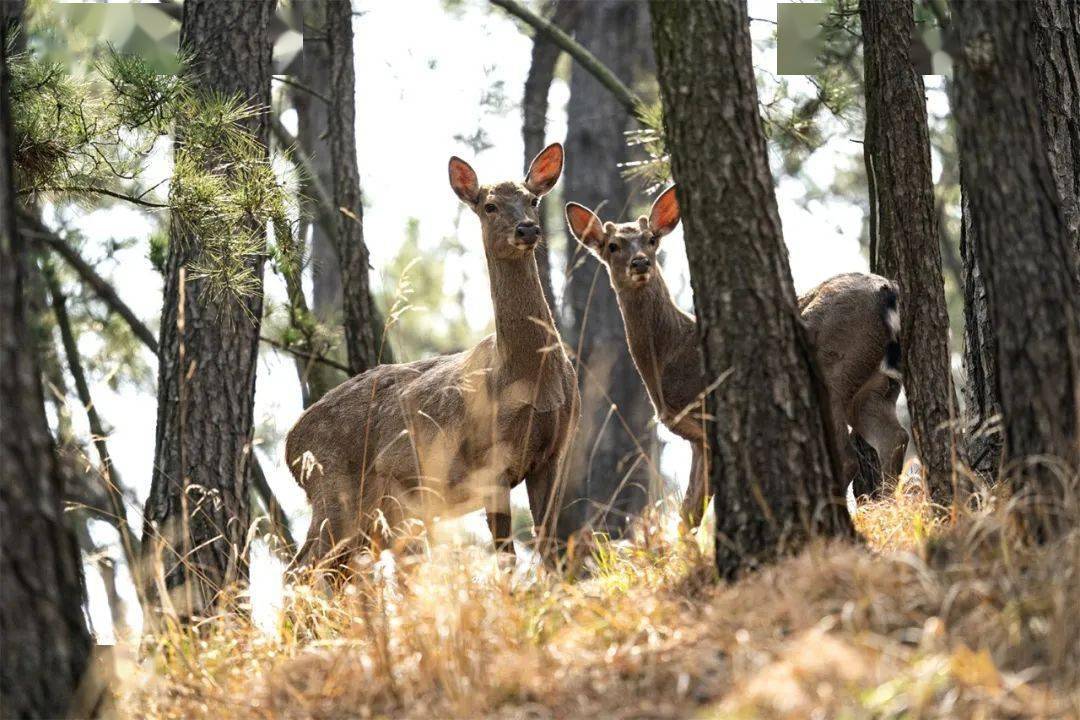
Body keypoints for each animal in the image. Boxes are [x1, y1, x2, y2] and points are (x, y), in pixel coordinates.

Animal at [282, 143, 578, 569]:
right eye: (489, 205)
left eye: (532, 199)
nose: (527, 229)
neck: (526, 374)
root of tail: (291, 442)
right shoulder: (490, 462)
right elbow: (505, 556)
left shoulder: (552, 455)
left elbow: (552, 549)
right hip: (333, 488)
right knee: (304, 566)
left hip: (371, 513)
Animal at [565, 185, 911, 526]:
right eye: (612, 245)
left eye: (651, 238)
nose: (639, 263)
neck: (670, 353)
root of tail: (886, 289)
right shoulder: (697, 437)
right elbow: (689, 512)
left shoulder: (709, 415)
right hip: (876, 387)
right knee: (896, 437)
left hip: (834, 370)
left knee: (848, 455)